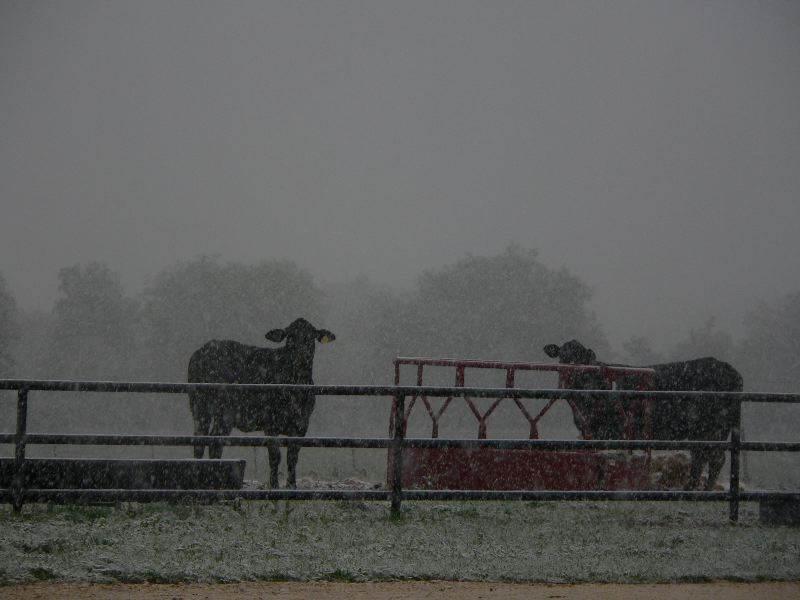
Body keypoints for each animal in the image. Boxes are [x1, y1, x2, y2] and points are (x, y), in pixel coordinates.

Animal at [188, 318, 334, 488]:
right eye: (290, 337)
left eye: (310, 337)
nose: (301, 355)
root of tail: (205, 349)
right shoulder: (271, 422)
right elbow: (275, 455)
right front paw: (274, 484)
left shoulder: (302, 423)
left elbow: (292, 455)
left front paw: (291, 485)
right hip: (220, 411)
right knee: (214, 443)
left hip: (201, 409)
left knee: (201, 442)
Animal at [544, 340, 744, 490]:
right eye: (562, 356)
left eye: (580, 357)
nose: (569, 372)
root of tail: (727, 368)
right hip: (701, 432)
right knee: (700, 456)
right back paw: (689, 488)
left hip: (713, 428)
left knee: (715, 458)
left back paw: (704, 490)